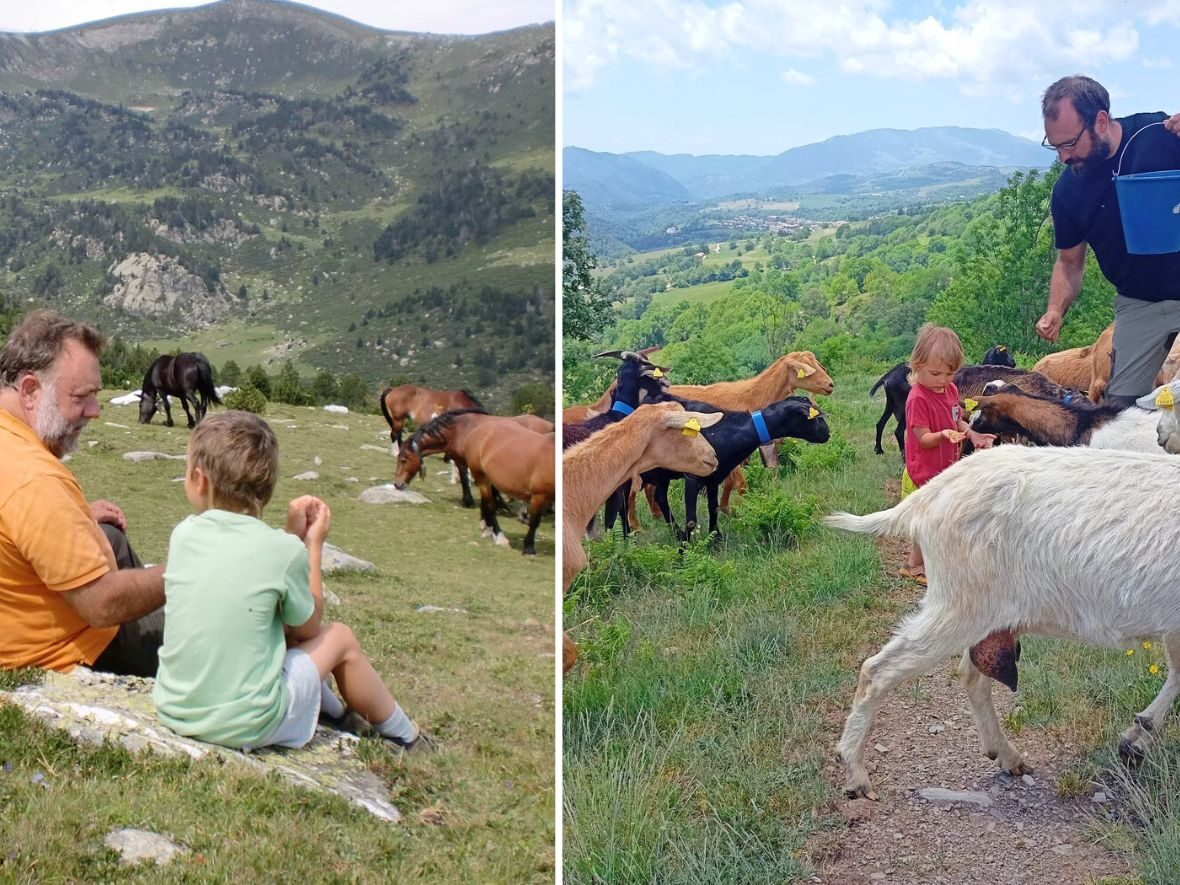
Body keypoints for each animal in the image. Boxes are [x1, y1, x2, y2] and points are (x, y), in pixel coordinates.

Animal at [394, 408, 554, 554]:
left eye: (403, 460)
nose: (397, 484)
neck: (459, 429)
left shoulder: (464, 462)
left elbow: (466, 481)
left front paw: (471, 504)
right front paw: (488, 520)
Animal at [608, 398, 830, 545]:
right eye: (814, 418)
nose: (827, 434)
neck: (727, 431)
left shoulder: (713, 478)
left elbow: (713, 507)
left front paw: (715, 537)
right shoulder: (694, 477)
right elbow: (691, 520)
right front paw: (686, 549)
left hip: (662, 475)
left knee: (660, 498)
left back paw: (675, 533)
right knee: (622, 505)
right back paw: (625, 539)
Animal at [825, 446, 1180, 802]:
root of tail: (926, 498)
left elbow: (1176, 674)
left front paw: (1137, 737)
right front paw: (1138, 739)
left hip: (983, 615)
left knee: (970, 675)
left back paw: (1006, 755)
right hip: (959, 606)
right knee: (878, 670)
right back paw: (856, 774)